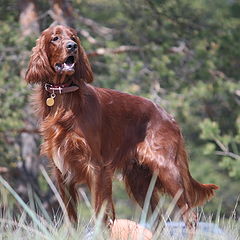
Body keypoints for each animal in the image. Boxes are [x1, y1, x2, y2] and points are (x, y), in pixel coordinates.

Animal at [25, 25, 218, 230]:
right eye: (55, 38)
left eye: (73, 37)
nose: (72, 46)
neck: (64, 99)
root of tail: (169, 117)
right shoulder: (61, 171)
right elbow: (71, 219)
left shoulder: (96, 167)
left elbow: (100, 213)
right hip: (139, 182)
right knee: (159, 221)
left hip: (168, 169)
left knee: (190, 216)